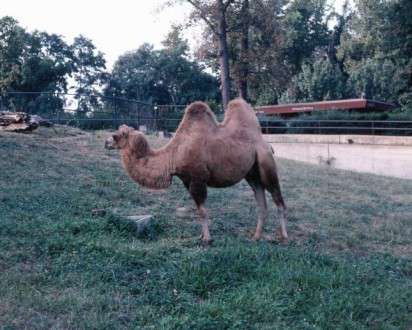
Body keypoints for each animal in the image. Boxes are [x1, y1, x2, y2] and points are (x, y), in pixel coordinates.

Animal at [104, 98, 288, 245]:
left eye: (115, 136)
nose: (106, 143)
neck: (173, 155)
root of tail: (266, 144)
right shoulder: (187, 180)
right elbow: (198, 210)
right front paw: (202, 236)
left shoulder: (197, 178)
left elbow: (202, 211)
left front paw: (207, 239)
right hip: (252, 174)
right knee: (262, 202)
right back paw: (256, 237)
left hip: (266, 164)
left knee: (278, 199)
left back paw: (284, 237)